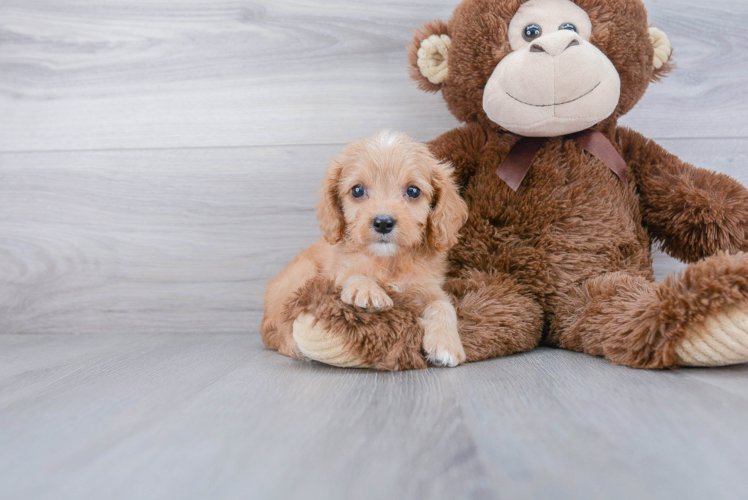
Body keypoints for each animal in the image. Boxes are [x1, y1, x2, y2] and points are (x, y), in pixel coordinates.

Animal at [258, 131, 468, 366]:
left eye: (413, 191)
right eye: (357, 190)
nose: (383, 223)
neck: (389, 260)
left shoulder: (429, 288)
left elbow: (444, 306)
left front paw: (447, 344)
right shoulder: (337, 273)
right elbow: (352, 274)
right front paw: (366, 290)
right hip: (299, 276)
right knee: (278, 325)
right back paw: (294, 345)